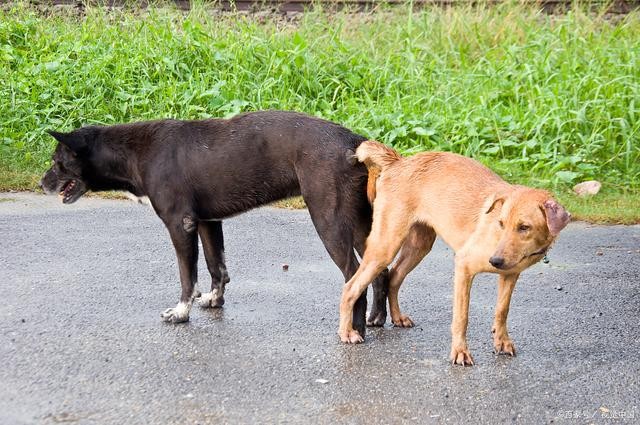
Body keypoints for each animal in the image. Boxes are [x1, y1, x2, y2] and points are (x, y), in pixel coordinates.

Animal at [42, 111, 390, 336]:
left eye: (58, 163)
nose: (43, 182)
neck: (134, 152)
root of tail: (354, 142)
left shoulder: (180, 224)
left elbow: (188, 276)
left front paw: (180, 312)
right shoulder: (208, 222)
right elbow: (216, 267)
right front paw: (213, 300)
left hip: (329, 220)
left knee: (352, 275)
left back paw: (354, 330)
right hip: (360, 224)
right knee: (379, 271)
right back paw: (375, 319)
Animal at [340, 140, 568, 364]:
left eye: (524, 227)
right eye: (501, 223)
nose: (494, 261)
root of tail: (398, 161)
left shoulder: (510, 274)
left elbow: (502, 310)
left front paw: (501, 341)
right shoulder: (464, 266)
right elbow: (462, 316)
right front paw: (460, 351)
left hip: (419, 246)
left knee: (394, 276)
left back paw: (397, 317)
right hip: (385, 246)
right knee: (350, 287)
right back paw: (346, 332)